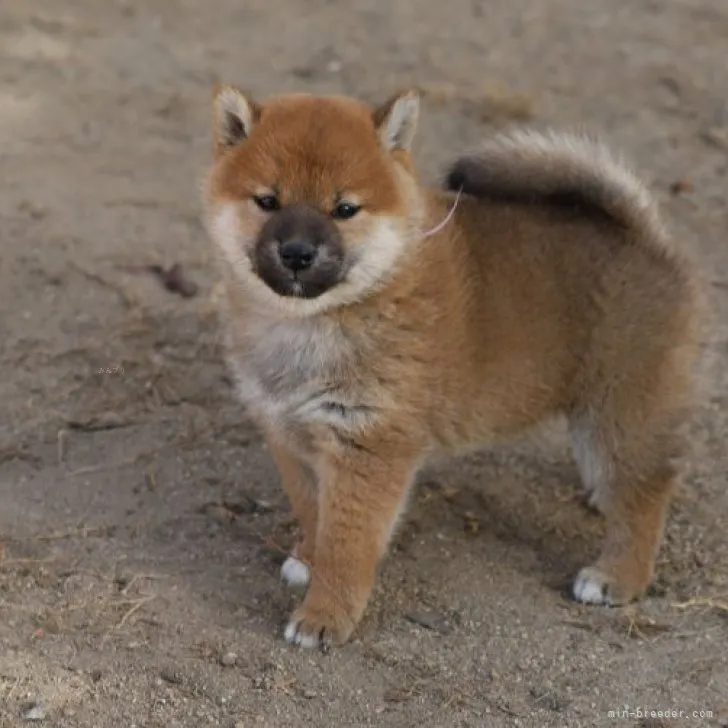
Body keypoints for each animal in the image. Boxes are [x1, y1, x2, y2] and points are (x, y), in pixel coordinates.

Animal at [199, 84, 704, 648]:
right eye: (268, 202)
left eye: (345, 208)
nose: (297, 252)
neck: (312, 325)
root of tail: (646, 238)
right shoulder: (291, 436)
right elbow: (314, 514)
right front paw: (308, 559)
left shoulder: (369, 447)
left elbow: (347, 544)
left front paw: (325, 615)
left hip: (621, 411)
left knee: (644, 497)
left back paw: (618, 576)